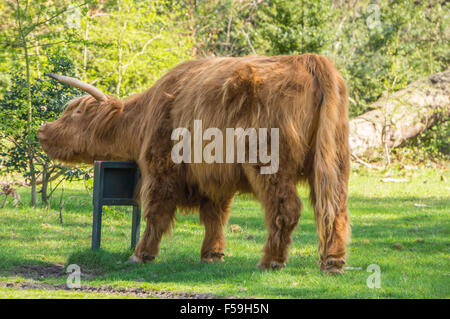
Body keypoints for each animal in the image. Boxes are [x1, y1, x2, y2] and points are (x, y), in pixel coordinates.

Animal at [37, 53, 350, 274]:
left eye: (77, 112)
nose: (42, 130)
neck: (143, 118)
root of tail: (309, 60)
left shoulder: (161, 168)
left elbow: (156, 213)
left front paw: (141, 254)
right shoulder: (214, 178)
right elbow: (215, 216)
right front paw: (212, 255)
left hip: (269, 163)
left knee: (286, 208)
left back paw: (270, 261)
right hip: (334, 161)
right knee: (334, 207)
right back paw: (333, 262)